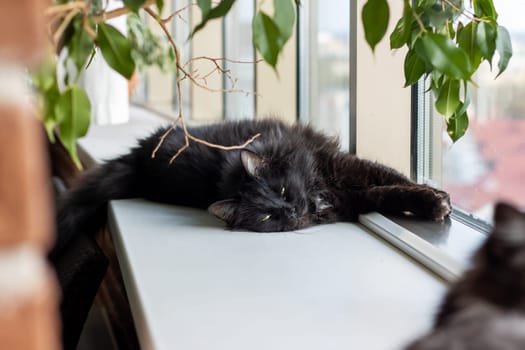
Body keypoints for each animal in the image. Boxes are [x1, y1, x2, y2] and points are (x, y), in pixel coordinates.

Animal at [50, 119, 450, 256]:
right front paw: (433, 203)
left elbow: (391, 178)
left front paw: (434, 196)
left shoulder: (340, 167)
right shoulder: (349, 192)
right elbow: (386, 190)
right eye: (270, 217)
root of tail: (137, 161)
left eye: (285, 193)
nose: (291, 210)